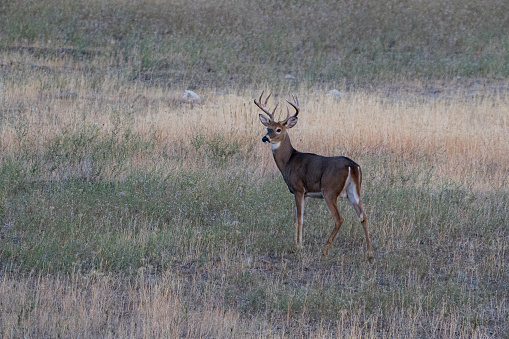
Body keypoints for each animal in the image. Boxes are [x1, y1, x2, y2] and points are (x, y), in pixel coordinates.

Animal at [254, 91, 374, 258]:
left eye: (278, 129)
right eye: (267, 128)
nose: (265, 138)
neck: (288, 160)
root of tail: (352, 165)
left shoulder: (298, 188)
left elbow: (299, 218)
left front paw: (299, 245)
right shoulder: (305, 194)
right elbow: (297, 217)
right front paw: (297, 242)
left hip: (329, 190)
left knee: (339, 218)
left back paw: (324, 249)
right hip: (354, 191)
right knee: (362, 215)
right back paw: (370, 252)